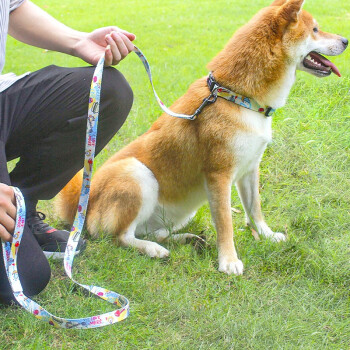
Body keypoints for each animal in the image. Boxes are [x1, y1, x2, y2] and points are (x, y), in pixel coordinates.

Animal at [54, 0, 348, 276]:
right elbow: (226, 224)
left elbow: (255, 209)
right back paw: (152, 249)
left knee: (152, 231)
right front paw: (228, 261)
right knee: (120, 237)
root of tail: (83, 206)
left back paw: (185, 239)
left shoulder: (250, 169)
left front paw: (266, 235)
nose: (345, 40)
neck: (236, 96)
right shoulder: (219, 175)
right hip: (137, 174)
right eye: (315, 29)